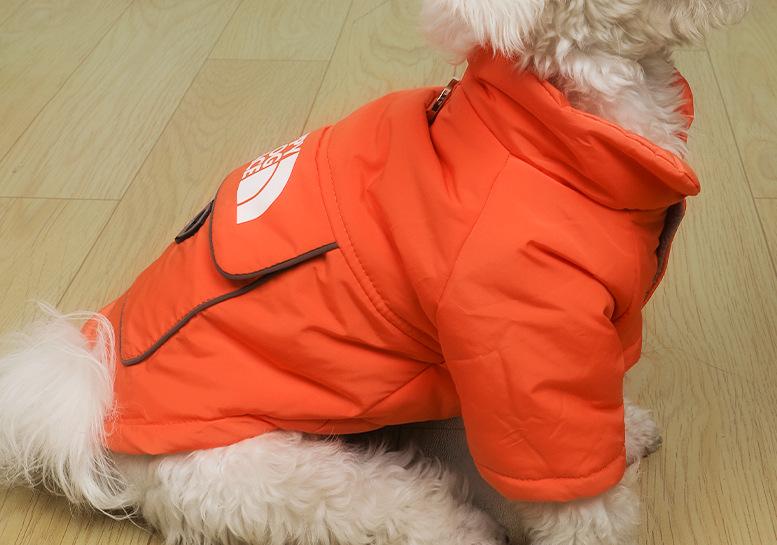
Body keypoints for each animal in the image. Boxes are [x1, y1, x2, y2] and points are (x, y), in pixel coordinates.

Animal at [0, 1, 748, 544]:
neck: (546, 132)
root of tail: (91, 408)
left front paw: (622, 431)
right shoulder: (523, 347)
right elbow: (577, 498)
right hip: (285, 477)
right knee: (406, 506)